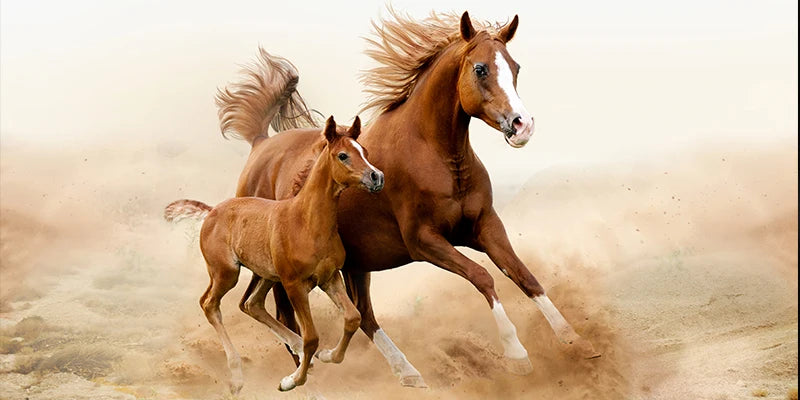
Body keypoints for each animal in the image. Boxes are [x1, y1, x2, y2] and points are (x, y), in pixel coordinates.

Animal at [164, 116, 384, 393]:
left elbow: (353, 318)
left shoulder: (329, 278)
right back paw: (237, 376)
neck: (306, 222)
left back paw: (296, 349)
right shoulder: (294, 285)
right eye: (343, 155)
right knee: (209, 304)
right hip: (226, 273)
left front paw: (327, 355)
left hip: (266, 275)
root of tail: (212, 210)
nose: (377, 177)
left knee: (251, 304)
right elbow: (312, 337)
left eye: (364, 151)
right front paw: (291, 381)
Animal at [206, 10, 599, 388]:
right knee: (282, 313)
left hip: (354, 263)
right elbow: (483, 277)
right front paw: (517, 354)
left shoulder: (485, 226)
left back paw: (406, 372)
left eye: (515, 67)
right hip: (284, 268)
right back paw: (308, 375)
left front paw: (577, 342)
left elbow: (524, 275)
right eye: (481, 68)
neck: (436, 155)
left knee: (362, 314)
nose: (522, 125)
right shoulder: (424, 241)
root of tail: (260, 144)